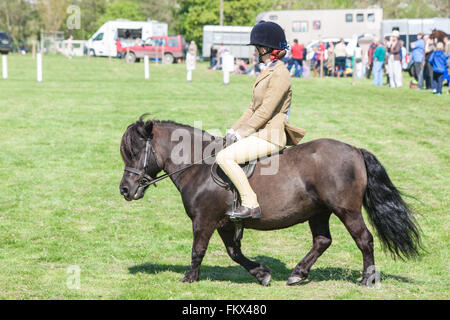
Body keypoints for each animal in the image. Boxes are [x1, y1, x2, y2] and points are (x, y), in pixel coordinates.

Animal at [119, 116, 422, 286]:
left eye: (134, 152)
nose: (125, 190)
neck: (199, 166)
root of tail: (354, 150)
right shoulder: (225, 223)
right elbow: (235, 253)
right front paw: (262, 274)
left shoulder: (204, 220)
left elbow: (198, 250)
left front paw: (189, 278)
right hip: (319, 212)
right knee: (322, 241)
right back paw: (297, 273)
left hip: (346, 210)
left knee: (364, 240)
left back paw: (367, 279)